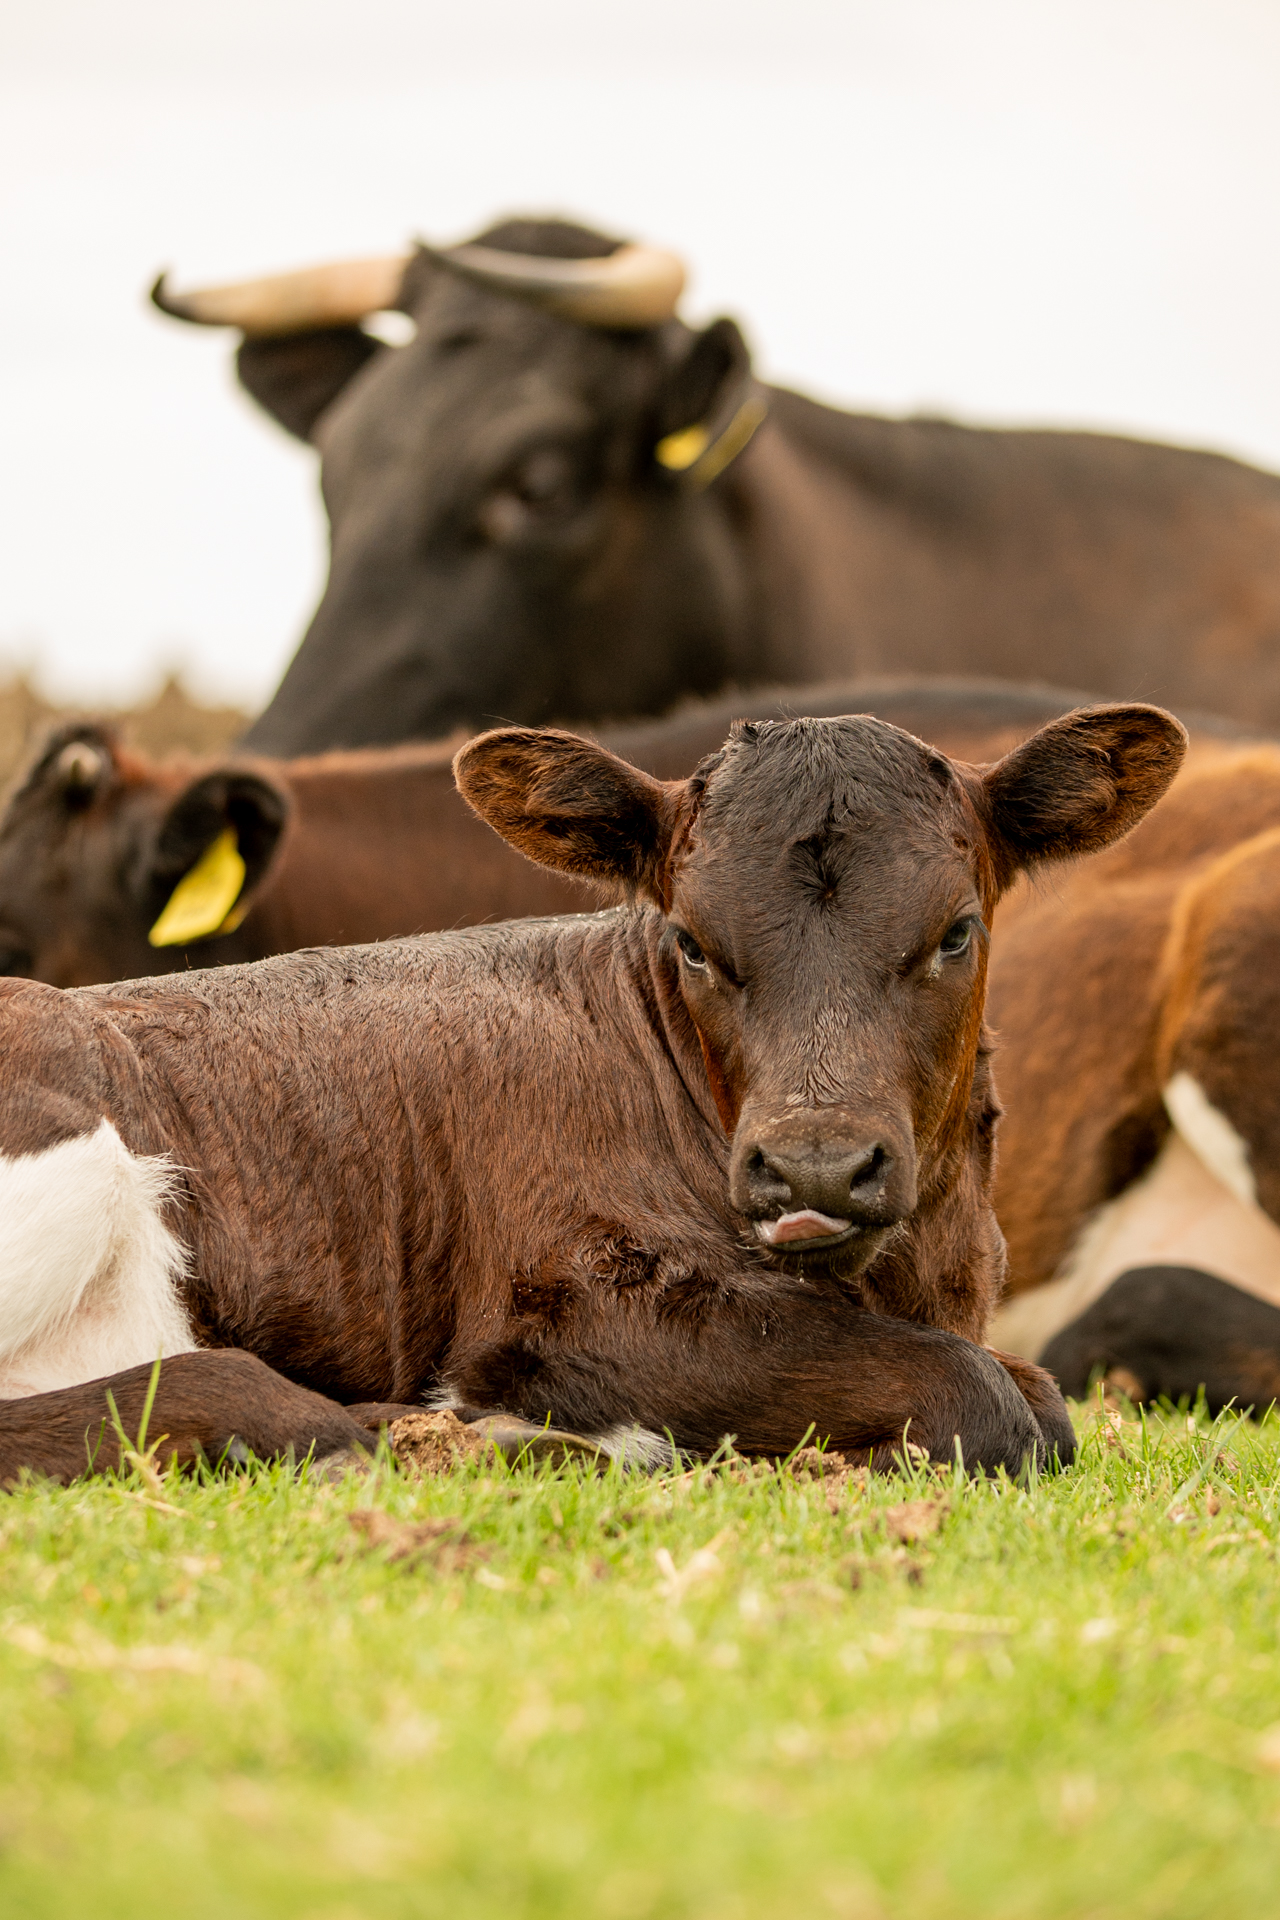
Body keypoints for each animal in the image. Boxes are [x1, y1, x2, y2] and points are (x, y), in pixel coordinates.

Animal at [0, 703, 1185, 1488]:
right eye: (691, 942)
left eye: (956, 931)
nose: (815, 1166)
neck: (917, 1275)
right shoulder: (574, 1309)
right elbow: (980, 1399)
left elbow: (1041, 1398)